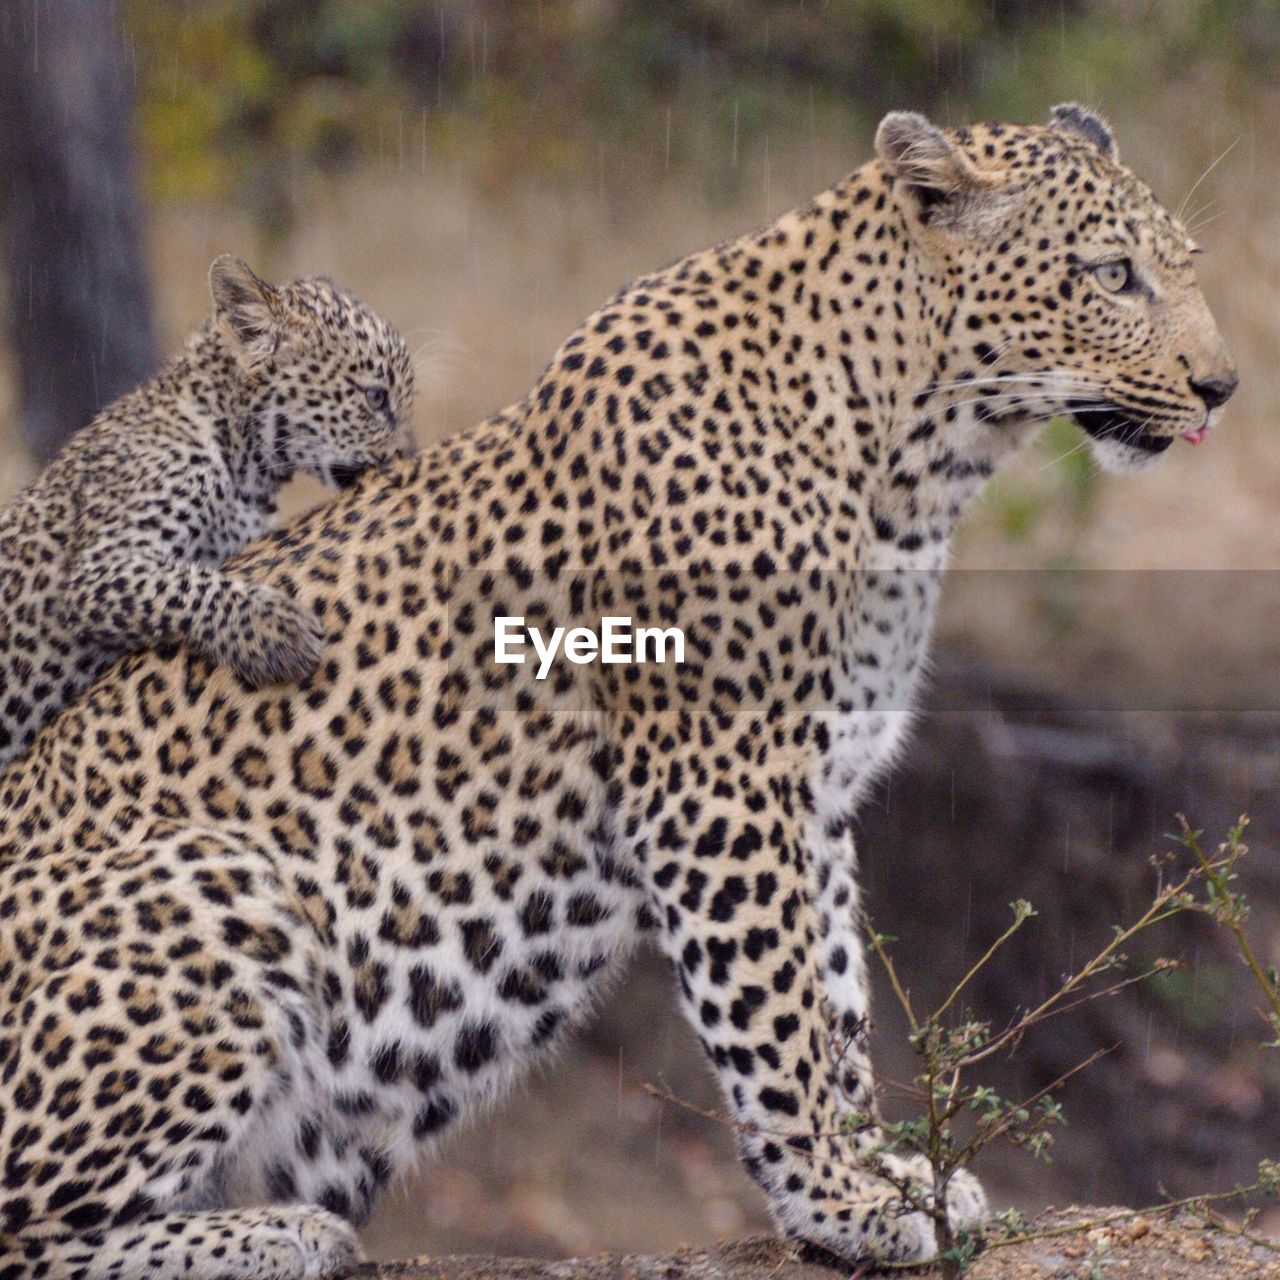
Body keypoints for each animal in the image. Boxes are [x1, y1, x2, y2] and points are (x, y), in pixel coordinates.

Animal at [0, 104, 1228, 1274]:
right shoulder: (718, 776)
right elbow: (776, 1010)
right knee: (31, 1230)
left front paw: (879, 1168)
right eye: (1112, 274)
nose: (1221, 386)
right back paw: (276, 1232)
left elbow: (834, 992)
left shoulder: (817, 785)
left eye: (1182, 264)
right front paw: (840, 1199)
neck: (915, 463)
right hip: (223, 878)